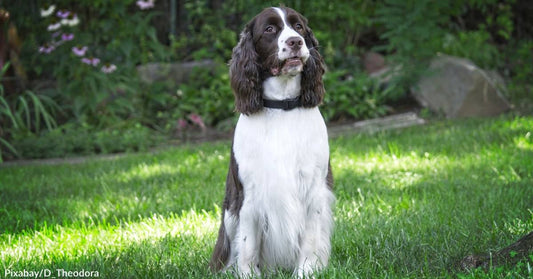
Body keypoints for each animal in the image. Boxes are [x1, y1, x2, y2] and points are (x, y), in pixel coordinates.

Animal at [211, 6, 332, 279]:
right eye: (269, 29)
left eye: (298, 27)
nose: (295, 42)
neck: (281, 107)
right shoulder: (248, 194)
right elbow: (248, 244)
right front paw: (247, 274)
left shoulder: (314, 189)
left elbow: (310, 239)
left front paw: (306, 271)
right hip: (229, 213)